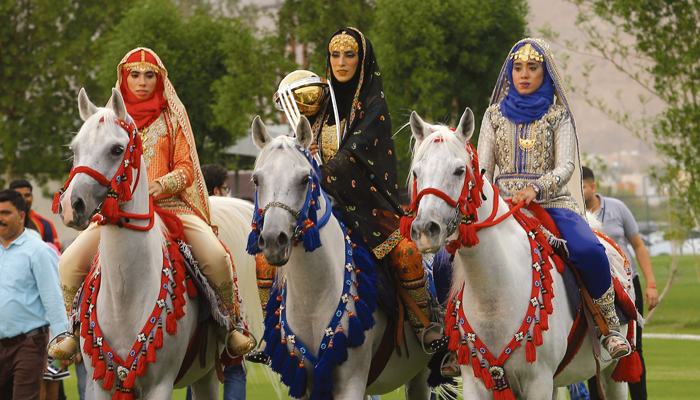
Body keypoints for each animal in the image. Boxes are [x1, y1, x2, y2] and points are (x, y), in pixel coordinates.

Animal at [58, 89, 262, 398]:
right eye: (75, 148)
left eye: (117, 149)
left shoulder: (159, 384)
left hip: (207, 375)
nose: (72, 206)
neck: (125, 294)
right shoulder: (100, 383)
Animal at [252, 115, 438, 400]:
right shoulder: (302, 383)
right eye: (256, 180)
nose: (273, 241)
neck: (313, 297)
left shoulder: (351, 381)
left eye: (305, 179)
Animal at [408, 107, 632, 400]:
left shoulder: (538, 381)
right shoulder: (476, 382)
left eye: (459, 170)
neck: (494, 290)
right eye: (416, 172)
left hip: (611, 373)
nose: (425, 229)